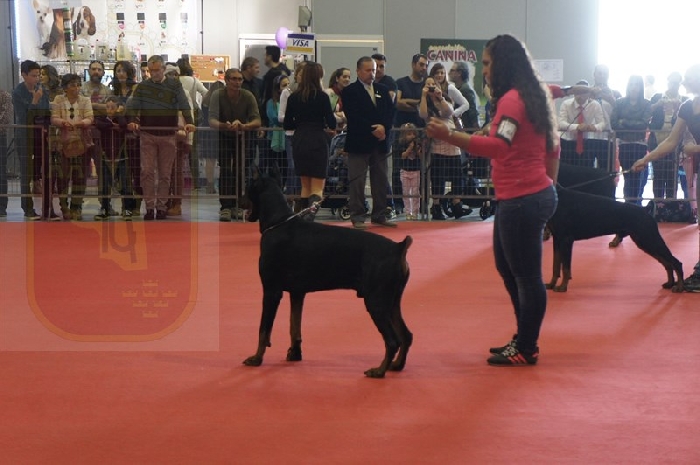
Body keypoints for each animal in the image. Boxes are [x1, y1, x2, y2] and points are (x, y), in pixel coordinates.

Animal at [242, 167, 413, 378]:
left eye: (247, 187)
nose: (240, 200)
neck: (279, 222)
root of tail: (398, 248)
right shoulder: (297, 293)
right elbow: (294, 326)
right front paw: (295, 353)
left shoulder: (271, 291)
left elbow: (264, 330)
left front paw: (256, 358)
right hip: (392, 301)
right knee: (406, 335)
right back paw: (396, 365)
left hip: (376, 301)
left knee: (392, 340)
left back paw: (379, 370)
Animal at [546, 186, 684, 293]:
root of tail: (645, 210)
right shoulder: (557, 239)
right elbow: (555, 266)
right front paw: (551, 284)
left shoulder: (566, 239)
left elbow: (565, 268)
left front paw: (562, 287)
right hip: (644, 242)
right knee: (667, 263)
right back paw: (670, 283)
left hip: (650, 239)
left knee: (676, 262)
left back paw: (679, 287)